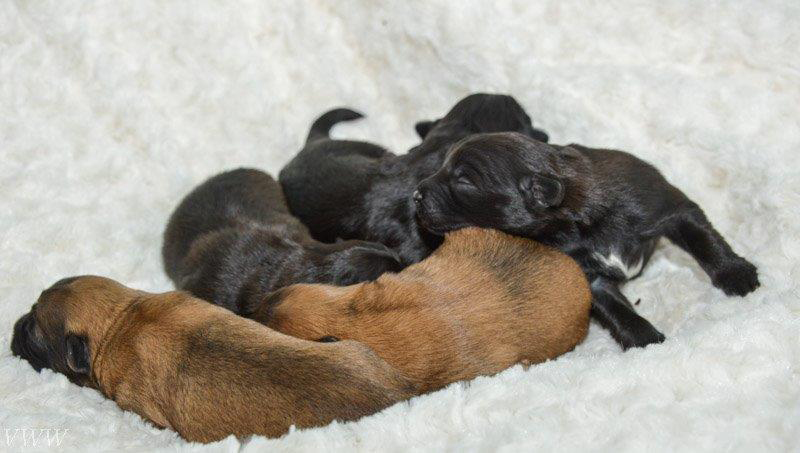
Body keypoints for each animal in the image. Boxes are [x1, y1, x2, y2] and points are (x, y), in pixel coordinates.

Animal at [414, 132, 760, 350]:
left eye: (464, 180)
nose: (415, 194)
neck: (578, 214)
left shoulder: (665, 206)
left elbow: (703, 238)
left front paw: (736, 274)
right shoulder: (589, 276)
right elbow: (616, 309)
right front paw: (645, 339)